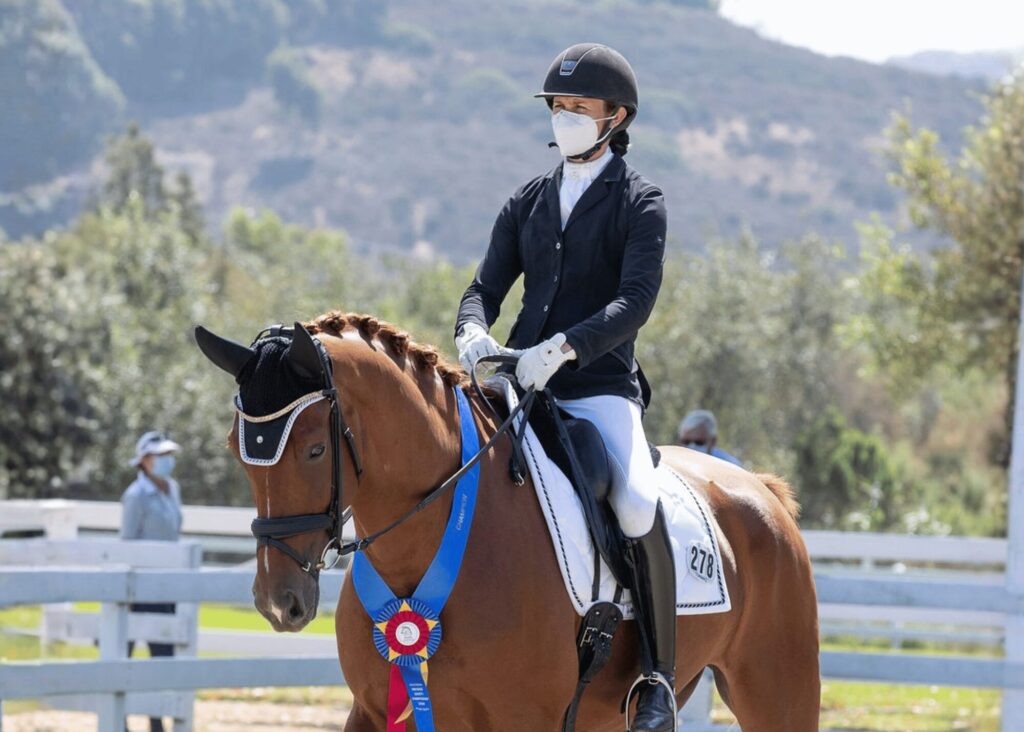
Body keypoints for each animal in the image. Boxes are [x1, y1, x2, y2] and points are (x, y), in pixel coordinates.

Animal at [195, 311, 820, 732]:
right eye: (234, 449)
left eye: (314, 451)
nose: (279, 603)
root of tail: (761, 489)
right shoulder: (374, 710)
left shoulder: (523, 719)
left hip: (777, 689)